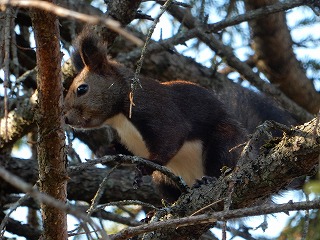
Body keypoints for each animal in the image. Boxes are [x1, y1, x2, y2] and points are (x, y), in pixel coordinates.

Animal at [63, 31, 298, 201]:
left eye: (82, 89)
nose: (65, 118)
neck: (119, 118)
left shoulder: (155, 108)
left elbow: (172, 135)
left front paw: (145, 166)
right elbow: (122, 149)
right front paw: (105, 151)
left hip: (225, 144)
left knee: (223, 164)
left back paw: (208, 181)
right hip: (163, 181)